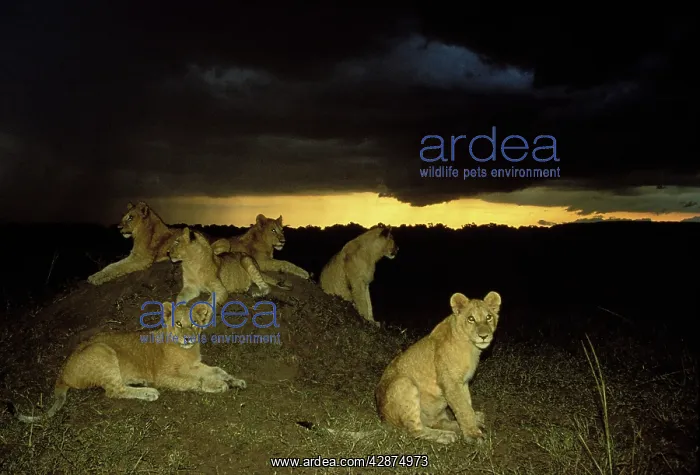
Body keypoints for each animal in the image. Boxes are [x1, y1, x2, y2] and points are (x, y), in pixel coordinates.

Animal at [6, 302, 246, 423]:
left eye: (194, 324)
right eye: (178, 323)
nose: (188, 338)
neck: (185, 350)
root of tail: (62, 372)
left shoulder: (194, 365)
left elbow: (216, 369)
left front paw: (234, 380)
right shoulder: (164, 376)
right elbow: (195, 382)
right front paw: (217, 386)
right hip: (103, 351)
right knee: (114, 391)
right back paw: (148, 392)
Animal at [374, 291, 502, 444]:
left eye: (488, 317)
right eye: (471, 319)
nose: (484, 336)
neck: (471, 347)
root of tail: (382, 417)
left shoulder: (463, 382)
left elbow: (466, 404)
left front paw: (473, 423)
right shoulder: (450, 383)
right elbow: (463, 408)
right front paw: (473, 434)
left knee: (437, 422)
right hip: (404, 382)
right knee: (415, 430)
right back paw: (446, 435)